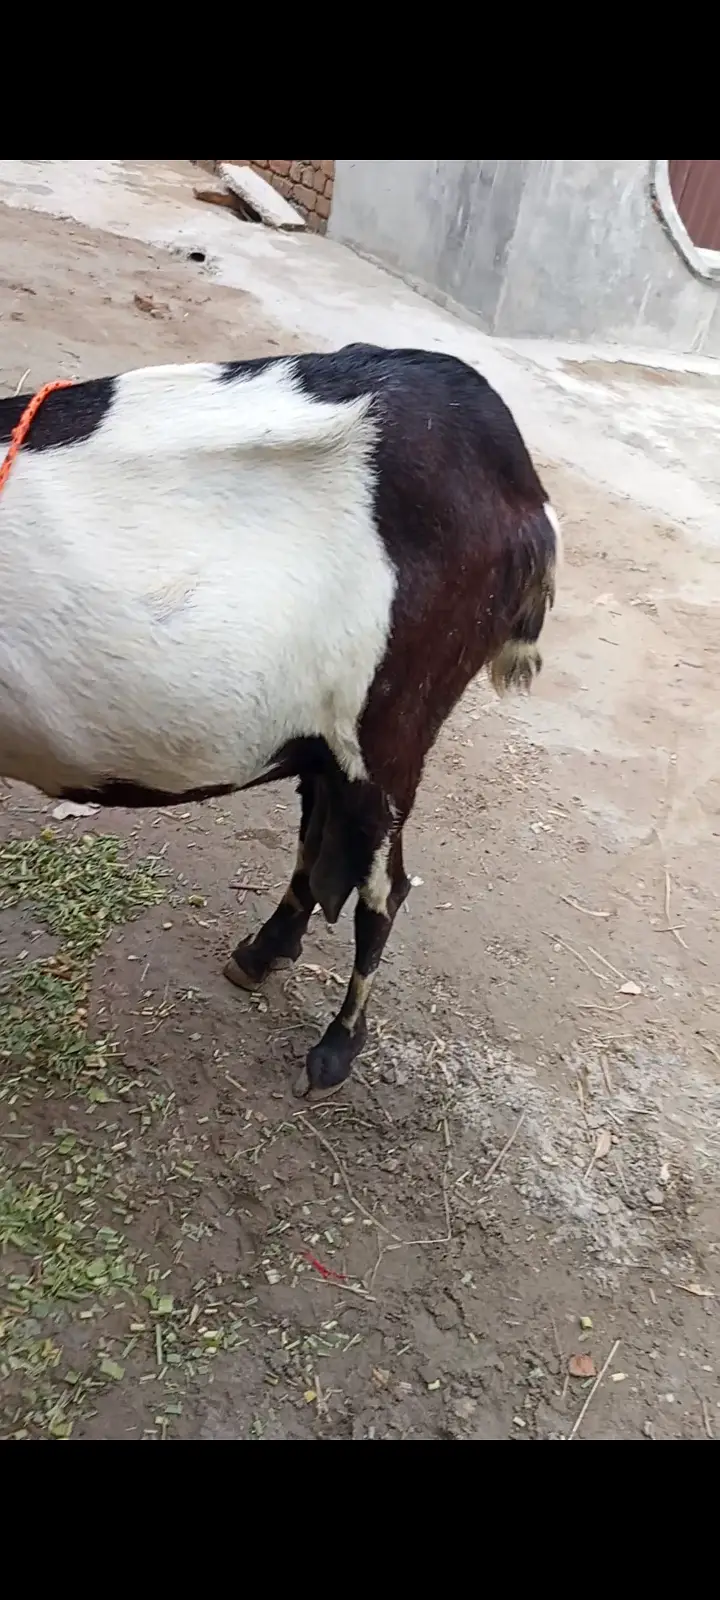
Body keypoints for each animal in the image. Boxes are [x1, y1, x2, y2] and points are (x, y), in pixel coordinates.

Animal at [0, 345, 560, 1100]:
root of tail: (522, 490)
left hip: (392, 727)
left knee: (383, 888)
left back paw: (335, 1051)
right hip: (325, 736)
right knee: (319, 836)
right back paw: (263, 953)